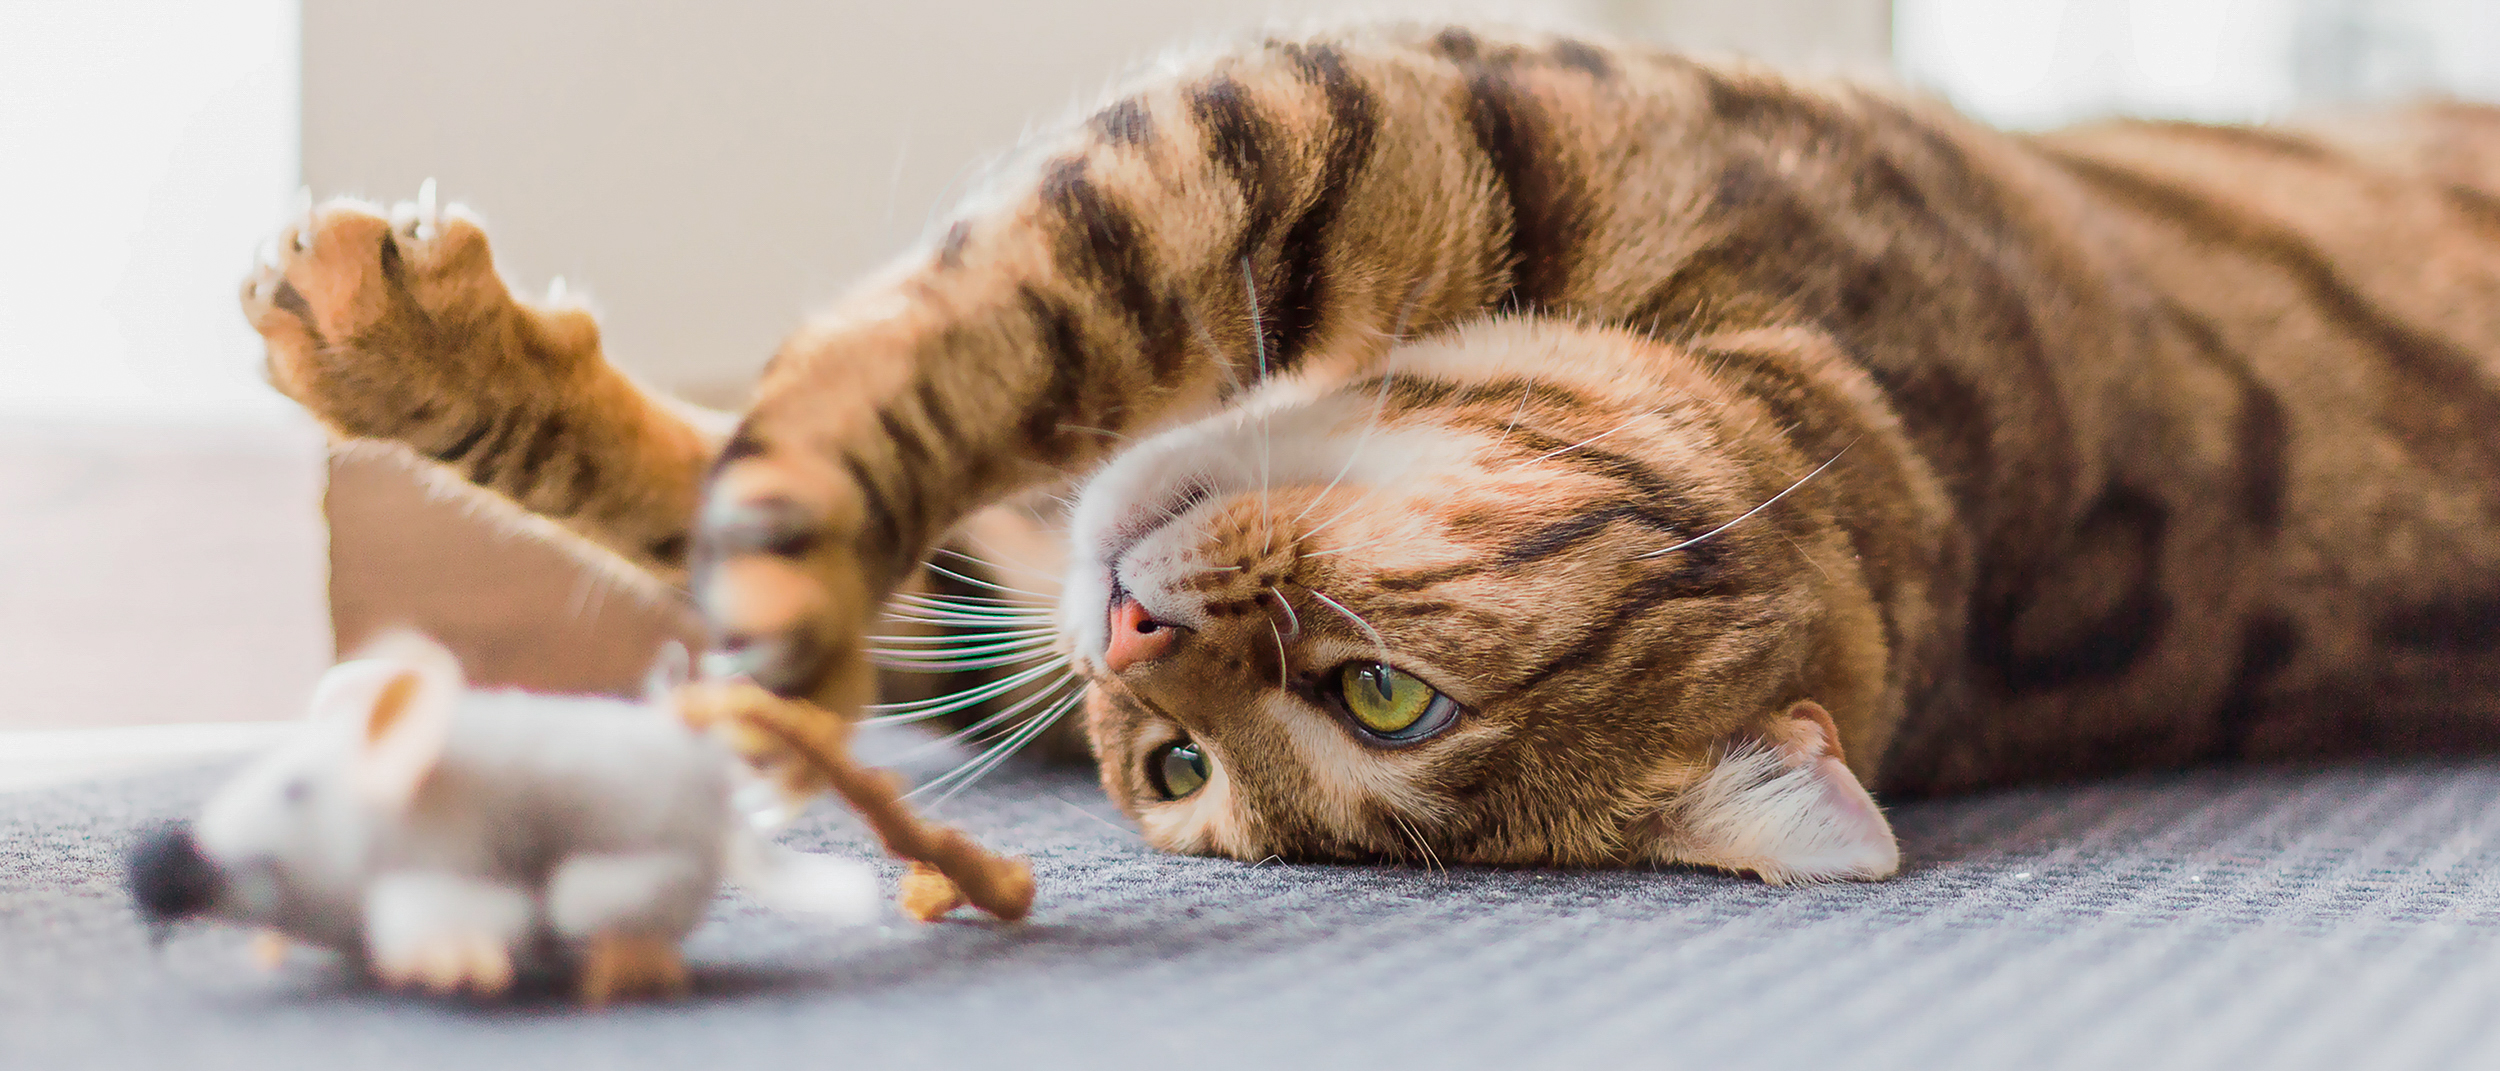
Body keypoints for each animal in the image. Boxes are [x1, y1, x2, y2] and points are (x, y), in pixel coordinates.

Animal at [238, 20, 2500, 880]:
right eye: (1387, 695)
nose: (1137, 643)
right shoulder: (1365, 126)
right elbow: (951, 338)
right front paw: (400, 341)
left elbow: (843, 465)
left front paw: (767, 610)